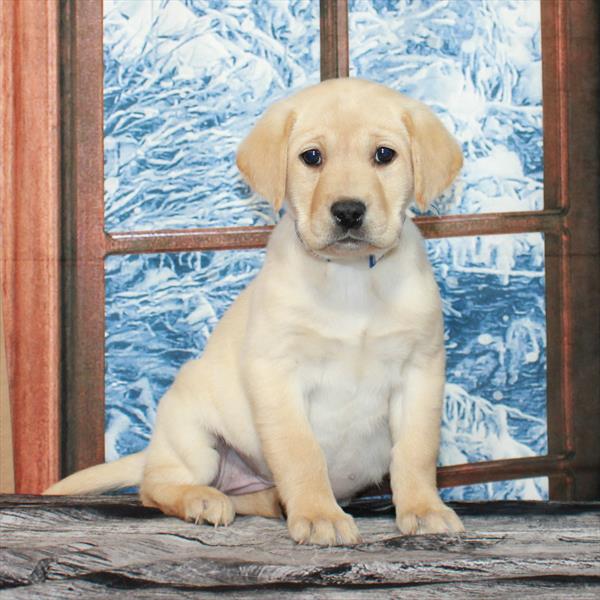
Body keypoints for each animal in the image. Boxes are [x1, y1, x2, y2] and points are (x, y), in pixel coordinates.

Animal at [49, 77, 466, 548]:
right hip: (190, 430)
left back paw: (271, 500)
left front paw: (424, 509)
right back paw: (202, 499)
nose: (347, 211)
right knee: (155, 486)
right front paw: (320, 515)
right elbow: (301, 453)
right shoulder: (276, 372)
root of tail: (154, 448)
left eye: (384, 155)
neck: (351, 276)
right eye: (312, 157)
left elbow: (415, 451)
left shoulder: (420, 371)